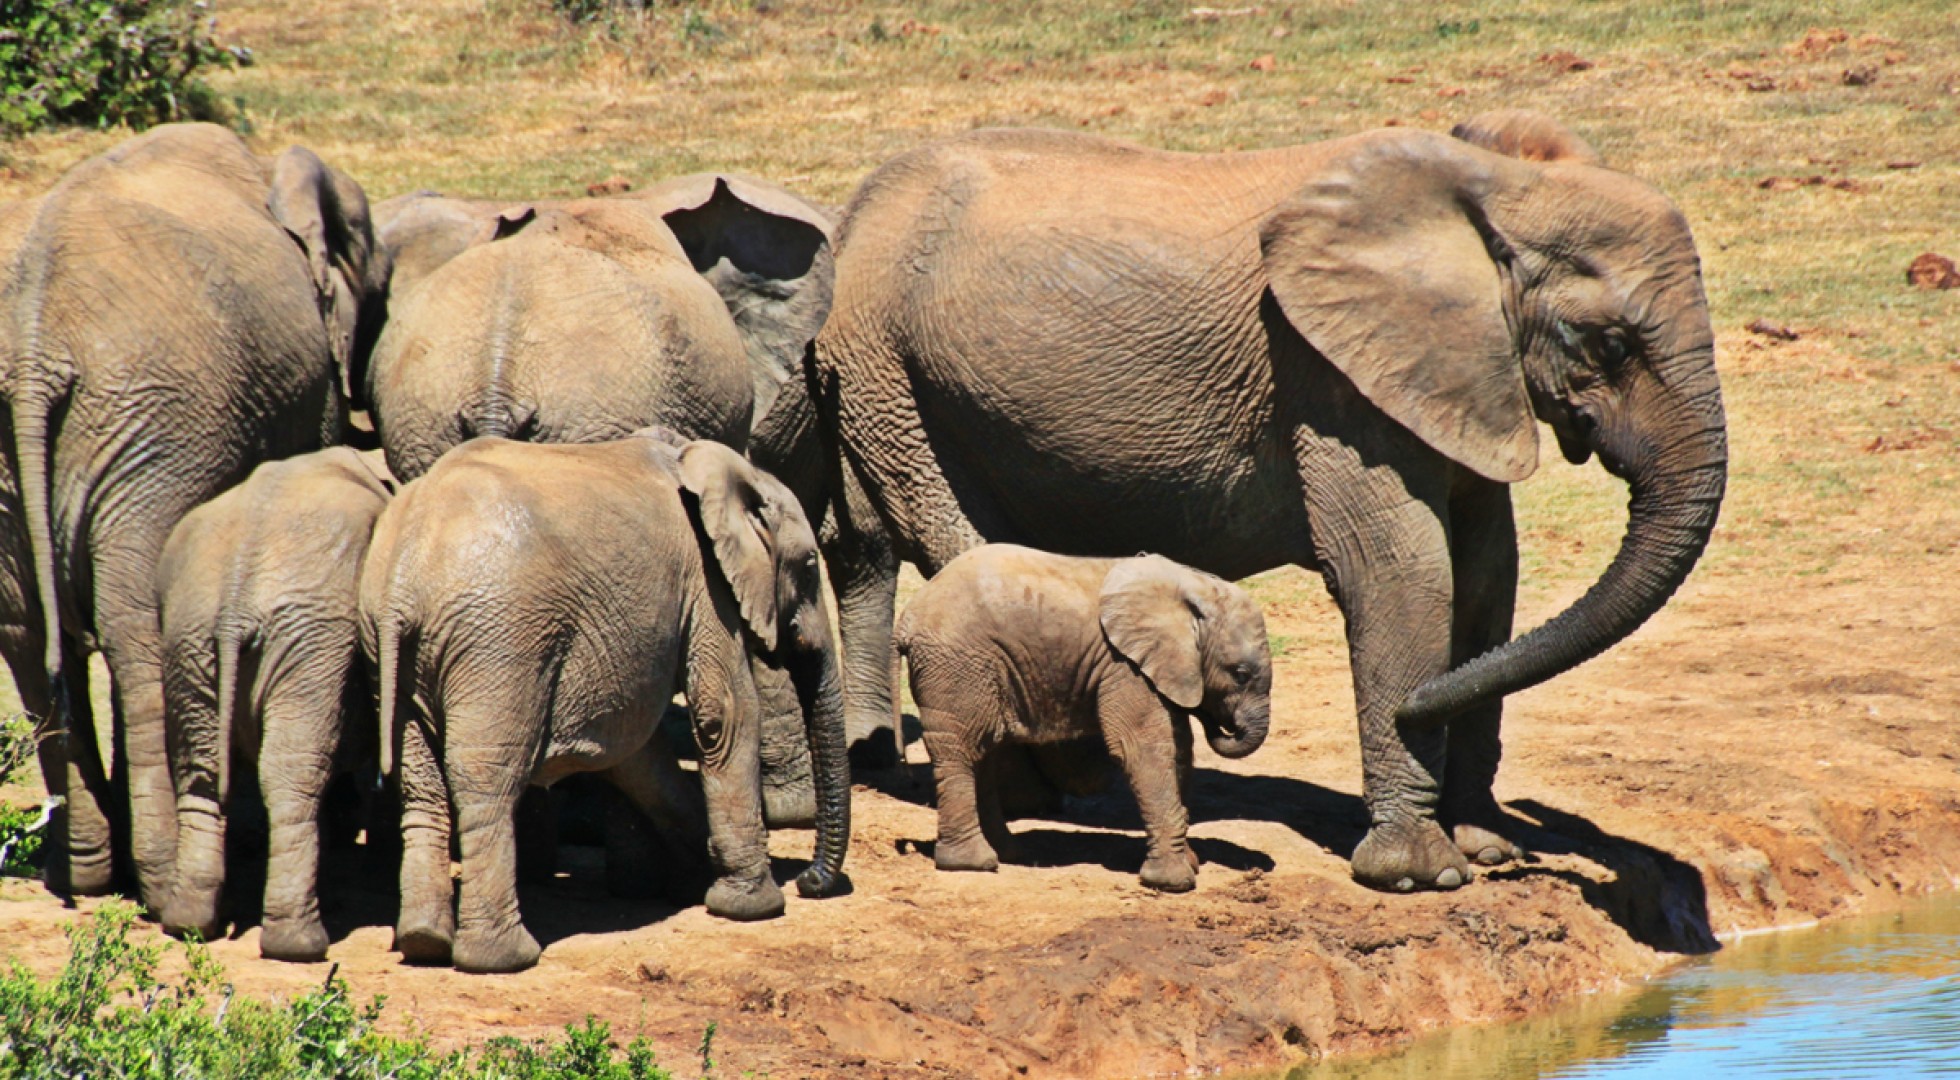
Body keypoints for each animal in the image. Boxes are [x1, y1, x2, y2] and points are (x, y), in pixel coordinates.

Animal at [0, 123, 388, 903]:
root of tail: (31, 354)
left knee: (26, 634)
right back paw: (164, 880)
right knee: (137, 629)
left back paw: (83, 873)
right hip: (158, 431)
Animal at [153, 446, 396, 961]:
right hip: (311, 641)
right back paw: (299, 944)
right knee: (291, 776)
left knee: (201, 772)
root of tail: (235, 603)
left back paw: (189, 924)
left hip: (188, 636)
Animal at [357, 431, 849, 973]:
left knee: (421, 786)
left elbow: (637, 754)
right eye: (809, 567)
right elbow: (725, 716)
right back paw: (503, 959)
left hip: (391, 649)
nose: (810, 882)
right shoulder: (706, 582)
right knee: (487, 782)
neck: (722, 468)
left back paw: (423, 942)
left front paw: (692, 881)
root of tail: (402, 582)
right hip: (500, 645)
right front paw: (752, 907)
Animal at [896, 545, 1272, 892]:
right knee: (962, 750)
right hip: (956, 665)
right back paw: (973, 863)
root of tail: (907, 619)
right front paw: (1173, 883)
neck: (1194, 586)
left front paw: (1191, 863)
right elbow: (1143, 749)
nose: (1221, 723)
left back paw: (1008, 853)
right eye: (1240, 675)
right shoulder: (1124, 666)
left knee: (984, 752)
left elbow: (1179, 749)